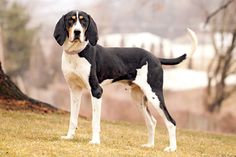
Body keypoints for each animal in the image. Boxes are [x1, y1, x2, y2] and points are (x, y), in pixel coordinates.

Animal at [53, 10, 197, 152]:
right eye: (70, 20)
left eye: (84, 21)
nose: (77, 32)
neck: (77, 53)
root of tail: (155, 58)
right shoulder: (75, 91)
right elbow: (73, 118)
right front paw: (69, 137)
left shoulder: (96, 91)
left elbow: (95, 121)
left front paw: (95, 141)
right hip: (138, 99)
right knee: (152, 122)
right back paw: (149, 145)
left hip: (154, 95)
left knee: (171, 121)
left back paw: (172, 148)